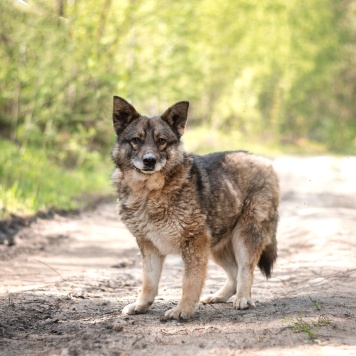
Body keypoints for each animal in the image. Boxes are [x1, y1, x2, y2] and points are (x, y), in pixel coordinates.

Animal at [110, 96, 278, 322]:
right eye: (136, 140)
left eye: (161, 141)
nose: (149, 161)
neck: (149, 192)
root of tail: (264, 162)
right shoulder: (149, 247)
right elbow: (149, 282)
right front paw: (141, 305)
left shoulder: (194, 243)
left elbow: (190, 282)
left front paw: (183, 309)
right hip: (217, 246)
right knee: (234, 274)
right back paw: (219, 296)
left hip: (243, 238)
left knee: (245, 270)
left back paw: (243, 299)